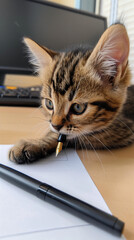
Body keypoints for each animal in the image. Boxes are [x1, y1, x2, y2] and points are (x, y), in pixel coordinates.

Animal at [8, 23, 134, 164]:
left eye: (78, 107)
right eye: (49, 104)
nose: (55, 125)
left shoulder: (122, 131)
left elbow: (75, 136)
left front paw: (33, 143)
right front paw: (36, 143)